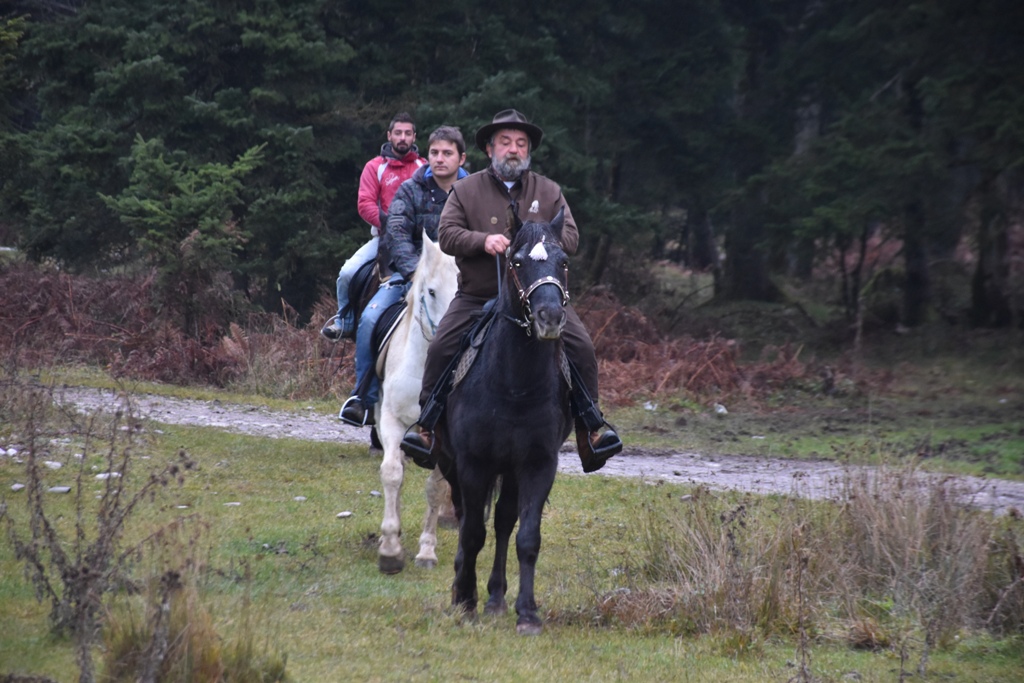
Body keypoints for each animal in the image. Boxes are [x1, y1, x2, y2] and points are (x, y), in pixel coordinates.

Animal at [434, 208, 577, 634]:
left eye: (563, 262)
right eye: (516, 262)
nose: (550, 317)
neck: (515, 386)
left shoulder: (538, 463)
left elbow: (526, 536)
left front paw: (526, 612)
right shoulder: (473, 463)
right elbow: (472, 532)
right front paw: (465, 599)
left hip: (510, 470)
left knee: (503, 521)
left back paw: (496, 596)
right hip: (452, 463)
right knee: (467, 518)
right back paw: (462, 586)